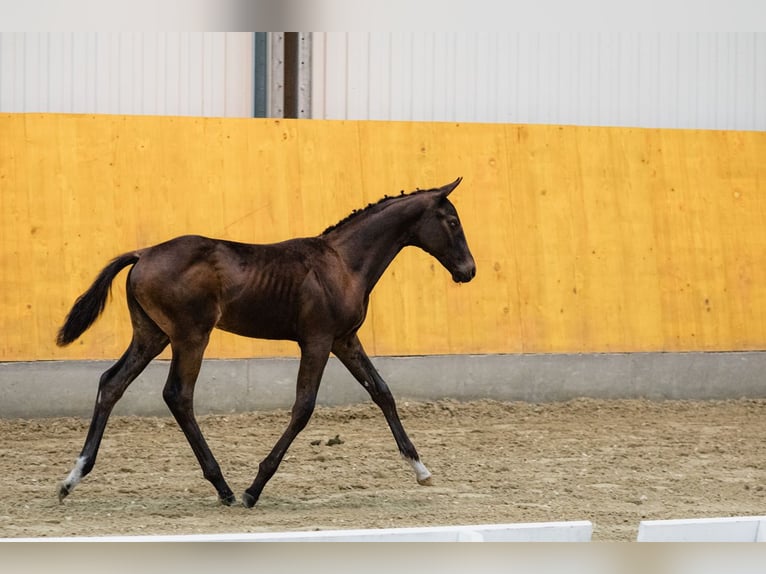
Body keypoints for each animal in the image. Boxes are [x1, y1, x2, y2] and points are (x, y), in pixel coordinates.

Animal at [55, 179, 474, 508]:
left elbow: (382, 391)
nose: (469, 271)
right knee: (178, 395)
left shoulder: (344, 339)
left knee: (112, 383)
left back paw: (72, 478)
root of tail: (143, 254)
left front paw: (421, 469)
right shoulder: (318, 340)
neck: (343, 263)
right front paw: (254, 489)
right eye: (452, 221)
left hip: (151, 335)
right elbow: (303, 407)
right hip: (191, 336)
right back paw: (224, 487)